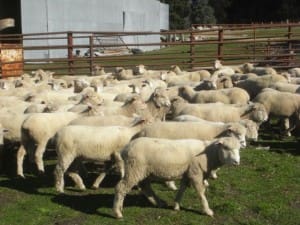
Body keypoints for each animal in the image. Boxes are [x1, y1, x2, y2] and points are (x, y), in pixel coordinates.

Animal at [112, 135, 241, 218]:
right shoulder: (196, 173)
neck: (209, 154)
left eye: (239, 149)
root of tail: (125, 148)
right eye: (226, 148)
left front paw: (176, 205)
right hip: (134, 168)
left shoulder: (188, 173)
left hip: (143, 170)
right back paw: (117, 212)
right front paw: (208, 211)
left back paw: (158, 203)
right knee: (121, 187)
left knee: (145, 187)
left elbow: (182, 189)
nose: (237, 162)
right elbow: (201, 193)